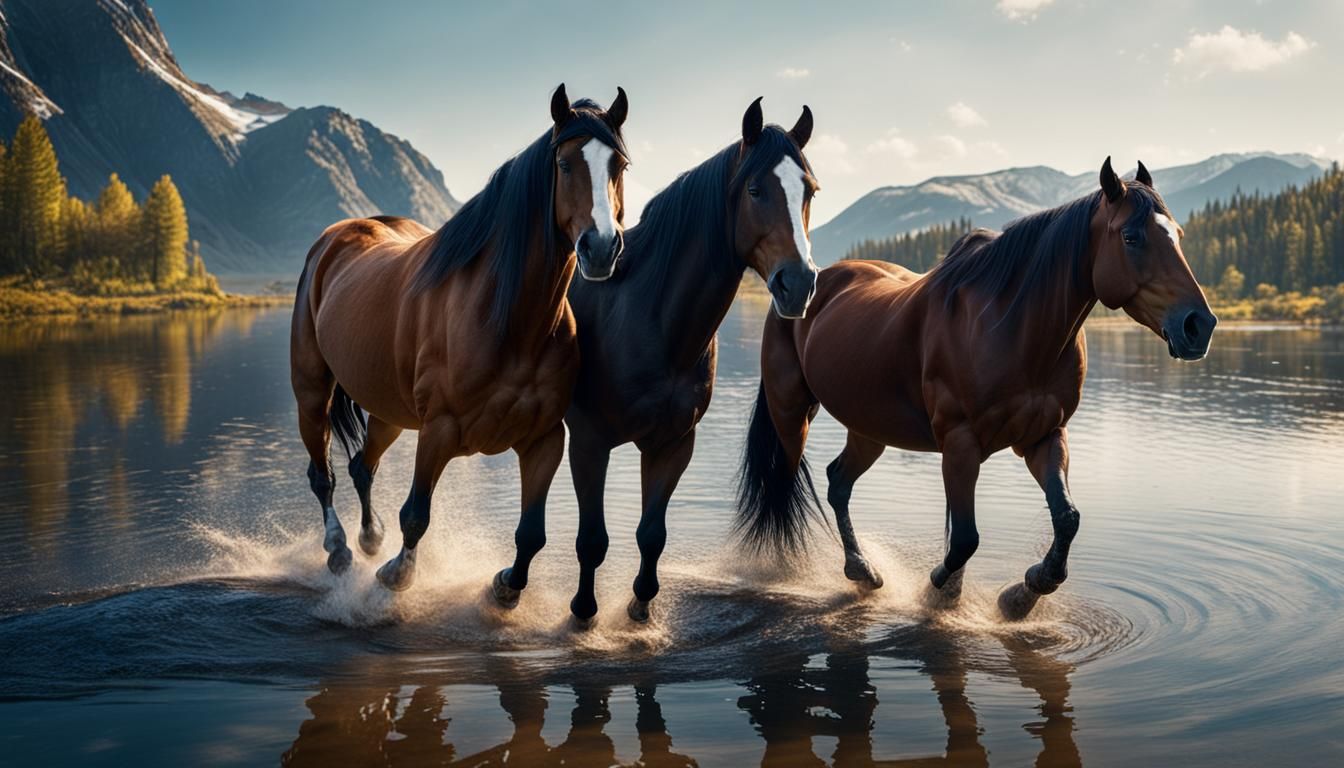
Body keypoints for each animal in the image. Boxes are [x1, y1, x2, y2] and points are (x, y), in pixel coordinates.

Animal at [289, 85, 630, 609]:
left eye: (619, 166)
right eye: (565, 163)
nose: (600, 248)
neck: (510, 322)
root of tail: (334, 240)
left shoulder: (545, 439)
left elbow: (531, 533)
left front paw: (505, 586)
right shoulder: (439, 430)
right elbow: (416, 514)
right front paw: (397, 574)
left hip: (390, 411)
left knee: (362, 467)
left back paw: (369, 537)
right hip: (312, 393)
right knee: (322, 474)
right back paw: (339, 548)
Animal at [563, 98, 819, 624]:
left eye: (809, 190)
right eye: (755, 189)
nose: (799, 284)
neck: (649, 317)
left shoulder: (673, 444)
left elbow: (651, 534)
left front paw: (640, 606)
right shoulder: (589, 442)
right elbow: (592, 539)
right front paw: (582, 611)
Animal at [735, 158, 1217, 620]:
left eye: (1178, 234)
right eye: (1132, 237)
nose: (1199, 325)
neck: (1011, 326)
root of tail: (805, 286)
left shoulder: (1044, 437)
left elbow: (1066, 519)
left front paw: (1023, 594)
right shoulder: (960, 442)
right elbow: (965, 538)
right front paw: (939, 589)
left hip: (869, 429)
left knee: (838, 483)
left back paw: (862, 570)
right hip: (792, 413)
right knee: (785, 486)